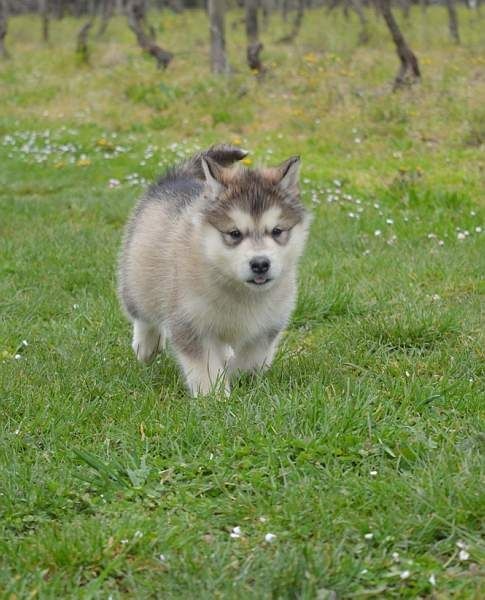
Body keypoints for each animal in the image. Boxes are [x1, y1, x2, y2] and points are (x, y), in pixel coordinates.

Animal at [120, 144, 310, 398]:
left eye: (277, 231)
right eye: (234, 233)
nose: (260, 263)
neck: (241, 293)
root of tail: (176, 178)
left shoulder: (269, 325)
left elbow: (252, 359)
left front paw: (235, 375)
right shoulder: (191, 323)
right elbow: (206, 367)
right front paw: (215, 397)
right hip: (139, 275)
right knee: (142, 314)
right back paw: (147, 345)